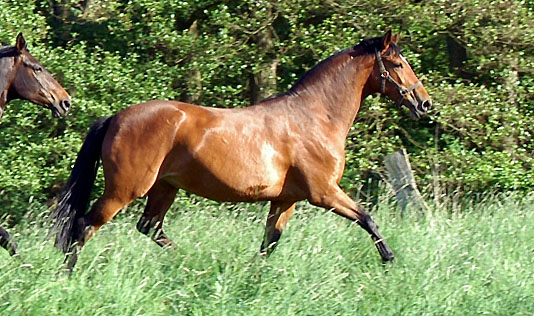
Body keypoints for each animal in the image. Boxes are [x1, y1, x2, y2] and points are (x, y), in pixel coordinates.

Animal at [52, 30, 434, 270]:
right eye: (397, 64)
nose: (425, 104)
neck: (313, 117)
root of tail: (116, 117)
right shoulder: (323, 193)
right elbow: (368, 218)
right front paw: (390, 260)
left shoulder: (285, 200)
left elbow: (269, 243)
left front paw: (255, 275)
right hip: (125, 190)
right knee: (83, 227)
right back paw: (68, 275)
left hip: (164, 188)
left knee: (149, 228)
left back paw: (192, 262)